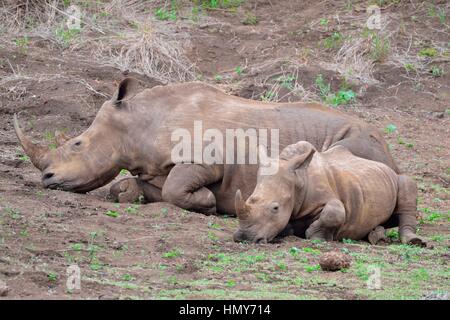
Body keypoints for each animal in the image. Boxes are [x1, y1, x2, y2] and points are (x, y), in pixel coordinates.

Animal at [234, 141, 428, 246]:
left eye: (275, 208)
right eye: (250, 199)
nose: (244, 237)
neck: (299, 180)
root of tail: (388, 166)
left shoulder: (329, 197)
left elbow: (334, 212)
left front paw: (316, 236)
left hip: (397, 178)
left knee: (407, 185)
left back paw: (414, 241)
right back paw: (376, 235)